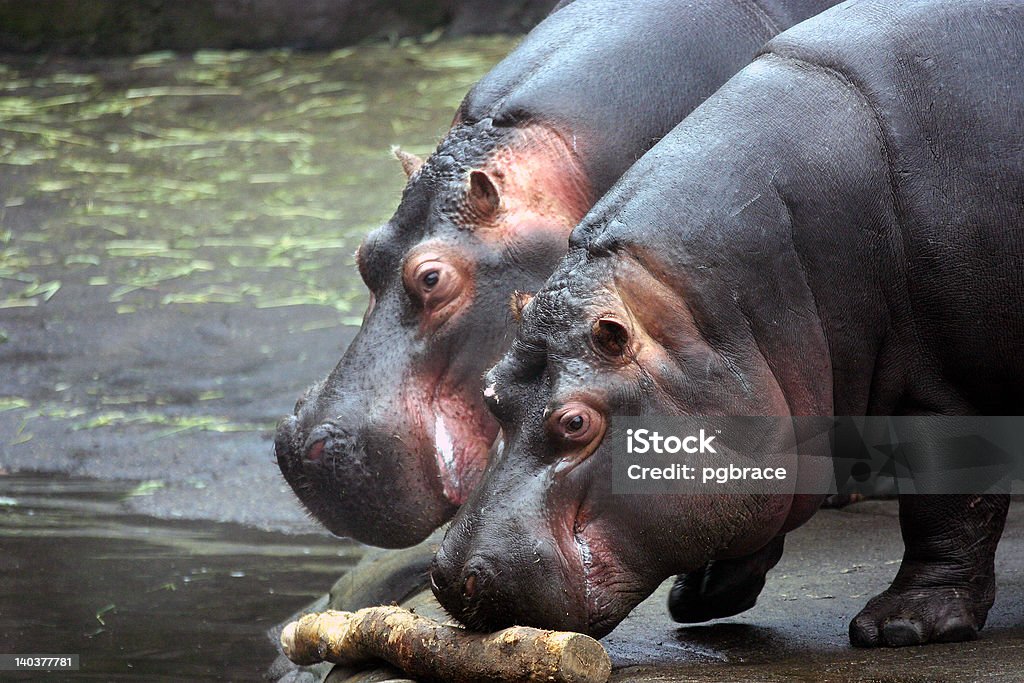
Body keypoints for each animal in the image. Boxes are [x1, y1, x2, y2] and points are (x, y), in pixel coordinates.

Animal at [430, 0, 1024, 651]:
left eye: (576, 422)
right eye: (492, 392)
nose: (453, 577)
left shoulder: (949, 389)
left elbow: (945, 499)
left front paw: (900, 625)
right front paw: (702, 594)